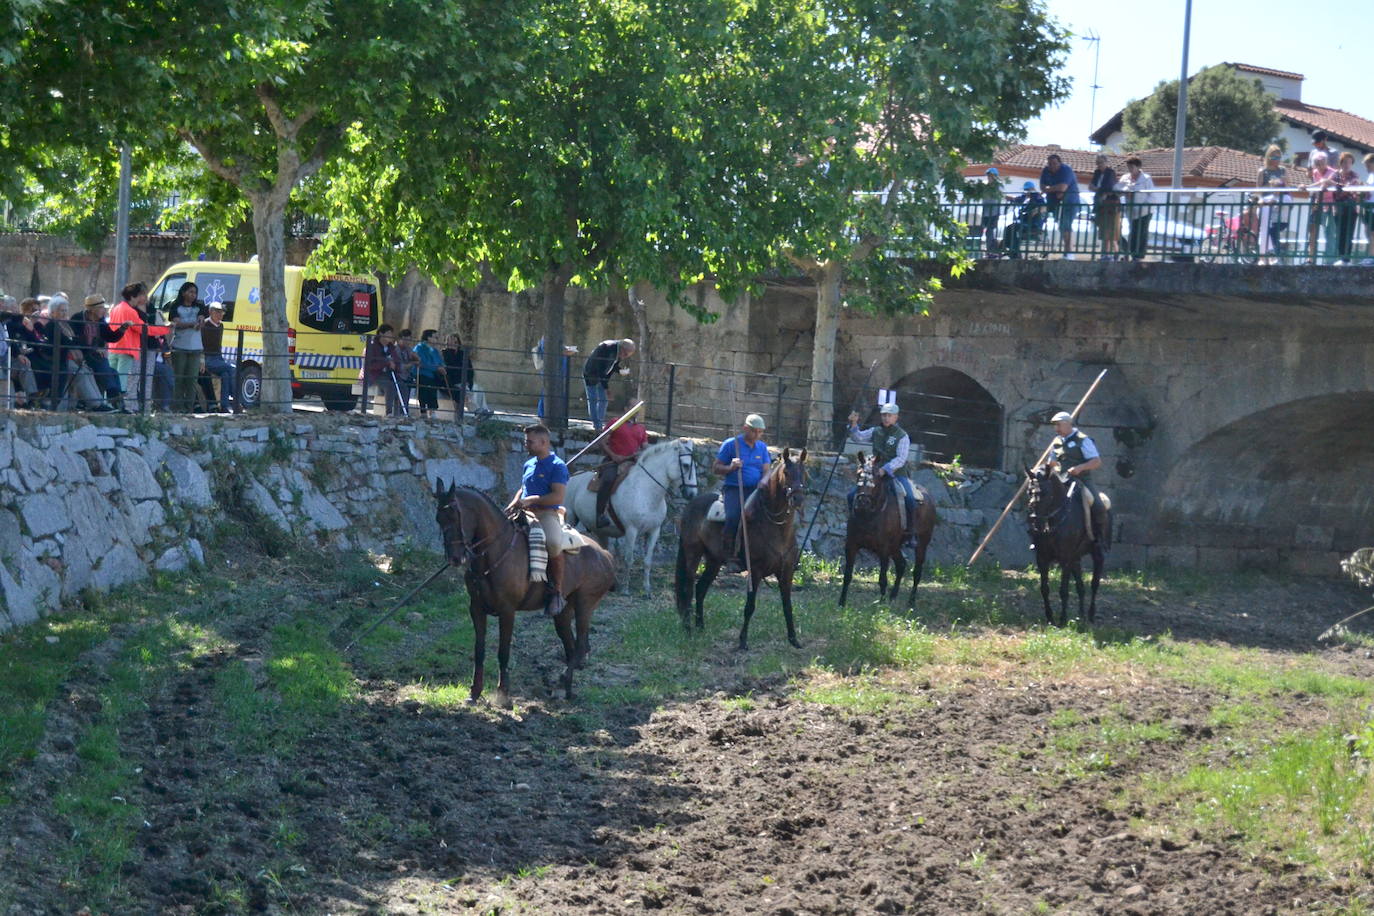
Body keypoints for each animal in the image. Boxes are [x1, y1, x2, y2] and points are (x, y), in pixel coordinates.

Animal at [434, 480, 618, 708]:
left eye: (455, 515)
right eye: (439, 518)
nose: (455, 558)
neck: (496, 551)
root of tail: (605, 554)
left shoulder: (507, 611)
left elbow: (503, 652)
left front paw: (503, 695)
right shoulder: (476, 608)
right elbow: (479, 650)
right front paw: (474, 693)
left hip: (585, 604)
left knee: (581, 646)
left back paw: (561, 682)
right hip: (563, 613)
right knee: (571, 647)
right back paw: (565, 690)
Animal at [563, 436, 703, 596]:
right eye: (686, 465)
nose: (692, 494)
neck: (646, 491)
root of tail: (571, 477)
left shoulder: (654, 531)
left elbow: (648, 561)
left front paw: (647, 589)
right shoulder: (631, 530)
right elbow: (628, 559)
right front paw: (625, 589)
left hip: (600, 530)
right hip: (570, 518)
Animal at [673, 450, 802, 650]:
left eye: (804, 473)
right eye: (786, 473)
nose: (798, 499)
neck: (777, 529)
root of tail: (690, 506)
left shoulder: (786, 572)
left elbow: (787, 605)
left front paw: (794, 639)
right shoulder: (755, 571)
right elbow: (750, 606)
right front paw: (742, 641)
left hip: (714, 561)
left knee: (700, 588)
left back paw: (700, 626)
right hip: (692, 553)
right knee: (688, 588)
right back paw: (688, 629)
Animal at [829, 455, 939, 612]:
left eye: (875, 477)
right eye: (858, 474)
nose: (862, 502)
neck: (869, 515)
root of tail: (928, 497)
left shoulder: (884, 549)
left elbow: (882, 579)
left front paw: (881, 607)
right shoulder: (851, 546)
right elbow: (847, 575)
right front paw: (841, 603)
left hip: (922, 544)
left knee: (917, 572)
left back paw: (911, 602)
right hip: (895, 546)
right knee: (901, 565)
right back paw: (893, 596)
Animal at [1027, 469, 1110, 626]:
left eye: (1046, 492)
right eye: (1029, 491)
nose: (1034, 520)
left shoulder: (1065, 559)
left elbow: (1063, 590)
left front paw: (1062, 619)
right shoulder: (1042, 558)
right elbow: (1044, 588)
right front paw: (1050, 617)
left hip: (1097, 554)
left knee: (1094, 584)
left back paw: (1090, 615)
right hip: (1075, 559)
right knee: (1080, 587)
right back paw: (1081, 616)